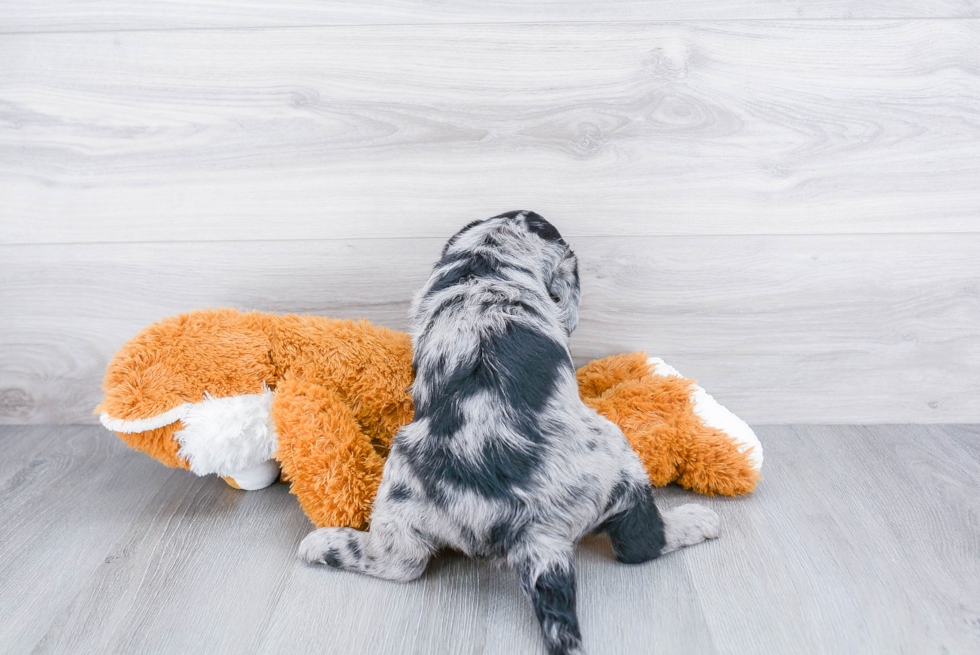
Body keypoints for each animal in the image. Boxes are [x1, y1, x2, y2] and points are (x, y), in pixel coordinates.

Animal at [298, 211, 720, 655]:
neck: (487, 264)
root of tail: (535, 528)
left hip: (402, 486)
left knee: (402, 562)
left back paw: (323, 545)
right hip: (618, 454)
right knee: (640, 541)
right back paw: (695, 520)